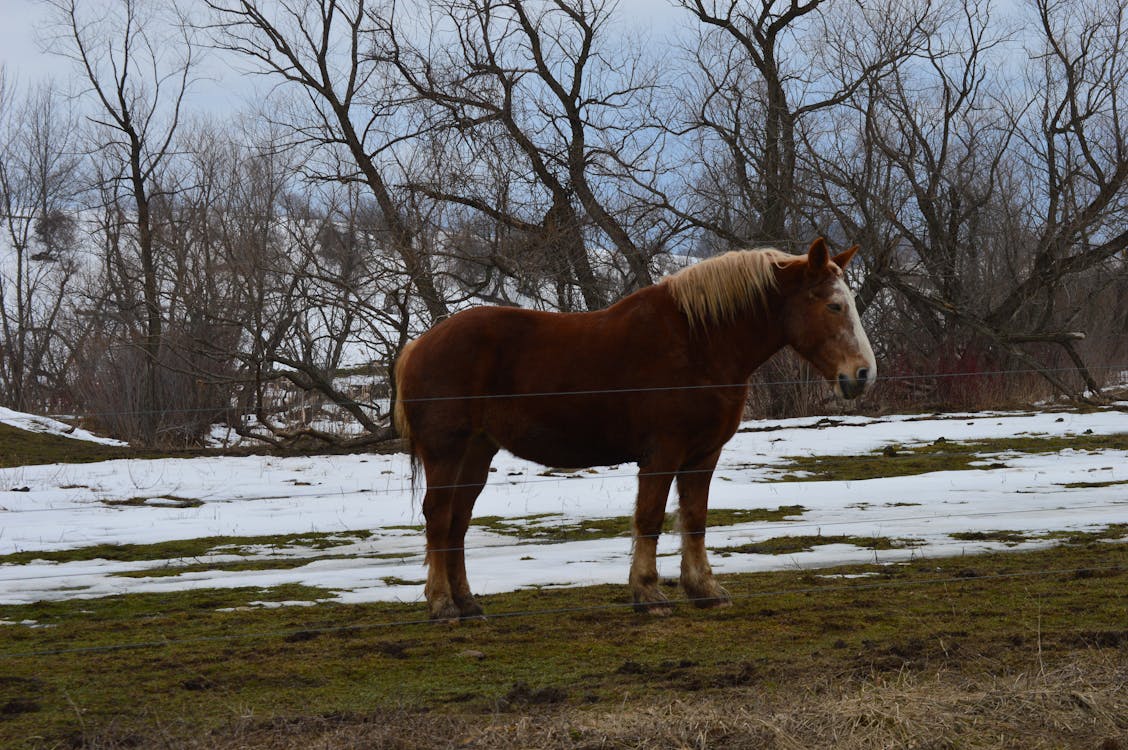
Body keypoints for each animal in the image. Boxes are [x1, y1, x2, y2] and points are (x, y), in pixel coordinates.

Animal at [392, 236, 875, 618]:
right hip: (446, 451)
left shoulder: (703, 454)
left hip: (477, 451)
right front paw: (648, 594)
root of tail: (420, 345)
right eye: (833, 305)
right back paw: (442, 605)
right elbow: (650, 518)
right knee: (438, 517)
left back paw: (468, 603)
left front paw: (704, 589)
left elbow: (694, 519)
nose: (862, 374)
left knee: (457, 522)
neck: (699, 342)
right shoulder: (663, 452)